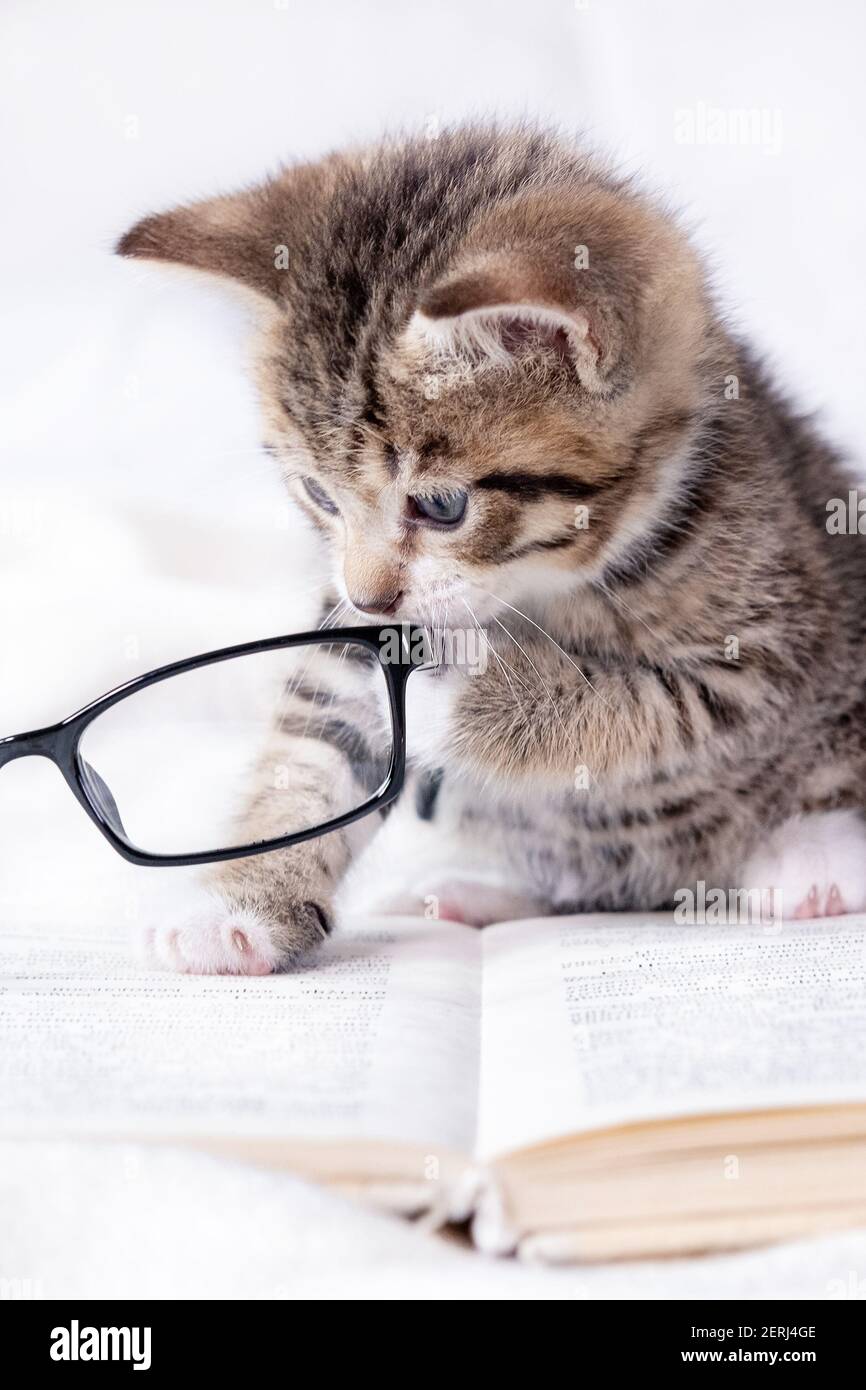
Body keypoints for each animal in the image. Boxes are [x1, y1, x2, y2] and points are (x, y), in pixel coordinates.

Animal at [120, 127, 866, 978]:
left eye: (442, 507)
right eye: (319, 496)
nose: (372, 596)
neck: (539, 582)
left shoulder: (763, 652)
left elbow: (636, 703)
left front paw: (451, 698)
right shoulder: (346, 630)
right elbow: (315, 743)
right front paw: (237, 903)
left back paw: (814, 862)